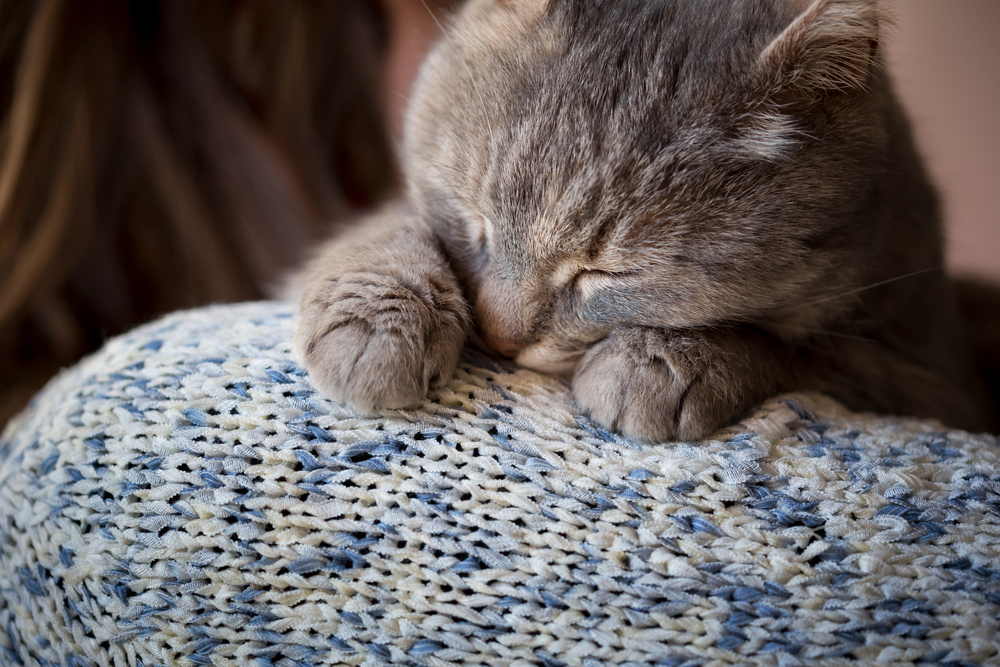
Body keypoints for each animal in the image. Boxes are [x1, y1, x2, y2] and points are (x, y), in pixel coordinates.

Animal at [292, 0, 988, 444]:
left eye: (609, 273)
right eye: (476, 223)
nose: (498, 337)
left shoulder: (922, 373)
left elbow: (794, 345)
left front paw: (666, 362)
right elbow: (390, 227)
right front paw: (381, 319)